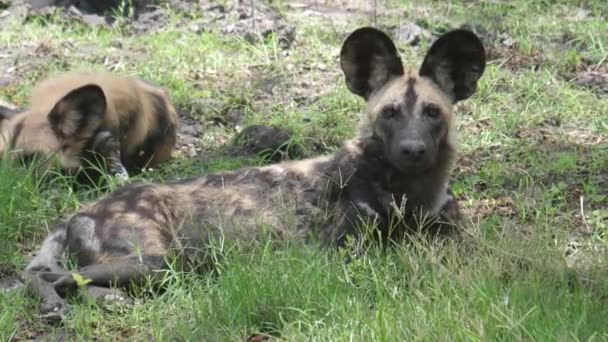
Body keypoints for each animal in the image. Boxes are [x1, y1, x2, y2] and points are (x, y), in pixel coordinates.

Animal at [21, 26, 484, 320]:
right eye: (389, 113)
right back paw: (58, 306)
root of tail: (81, 212)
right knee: (47, 276)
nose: (412, 150)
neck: (411, 193)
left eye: (432, 112)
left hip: (157, 266)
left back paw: (110, 301)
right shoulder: (339, 253)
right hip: (156, 261)